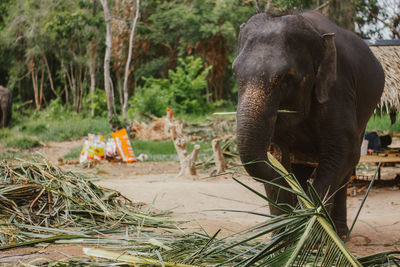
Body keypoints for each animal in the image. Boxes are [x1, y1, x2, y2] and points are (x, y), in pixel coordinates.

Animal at [234, 9, 384, 238]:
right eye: (235, 73)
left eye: (286, 77)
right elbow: (273, 155)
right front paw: (280, 238)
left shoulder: (337, 88)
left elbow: (341, 151)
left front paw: (308, 231)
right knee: (302, 170)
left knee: (348, 165)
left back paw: (340, 232)